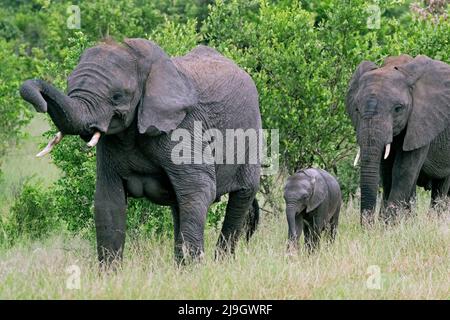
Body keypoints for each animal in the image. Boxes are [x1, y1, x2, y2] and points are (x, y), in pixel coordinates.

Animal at [19, 38, 262, 264]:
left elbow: (198, 190)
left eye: (117, 96)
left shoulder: (185, 128)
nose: (41, 103)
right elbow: (108, 202)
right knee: (179, 205)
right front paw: (110, 277)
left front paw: (195, 274)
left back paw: (220, 263)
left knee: (240, 197)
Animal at [348, 55, 450, 224]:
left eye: (398, 109)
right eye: (356, 109)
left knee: (441, 187)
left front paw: (388, 224)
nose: (369, 227)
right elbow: (387, 172)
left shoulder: (422, 122)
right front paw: (391, 224)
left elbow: (403, 170)